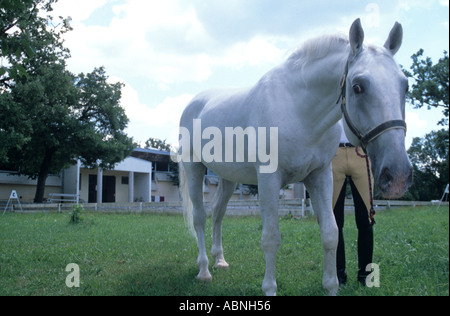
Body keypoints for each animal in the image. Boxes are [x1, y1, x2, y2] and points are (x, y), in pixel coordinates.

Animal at [178, 19, 414, 296]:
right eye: (358, 87)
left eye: (405, 85)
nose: (398, 176)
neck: (299, 110)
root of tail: (194, 103)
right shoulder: (269, 180)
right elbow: (271, 238)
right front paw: (269, 289)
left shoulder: (320, 176)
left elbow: (331, 233)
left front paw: (331, 286)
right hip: (194, 168)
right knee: (200, 217)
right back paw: (204, 270)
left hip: (228, 177)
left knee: (218, 213)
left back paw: (220, 260)